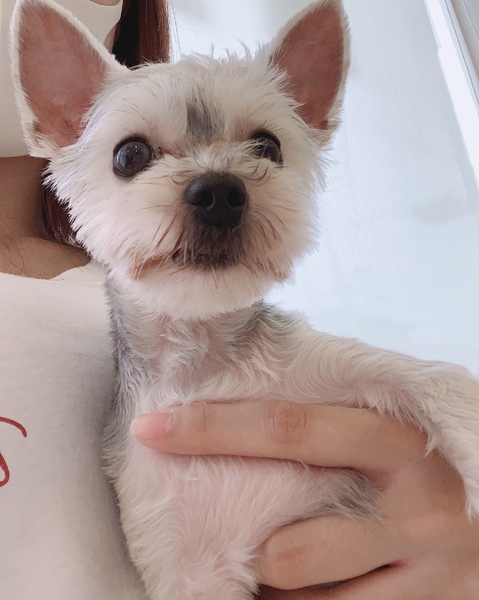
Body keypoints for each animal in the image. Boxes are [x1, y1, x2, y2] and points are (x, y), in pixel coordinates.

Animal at [11, 0, 479, 597]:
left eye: (268, 147)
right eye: (129, 155)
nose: (218, 191)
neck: (206, 366)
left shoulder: (340, 370)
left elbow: (442, 380)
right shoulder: (182, 560)